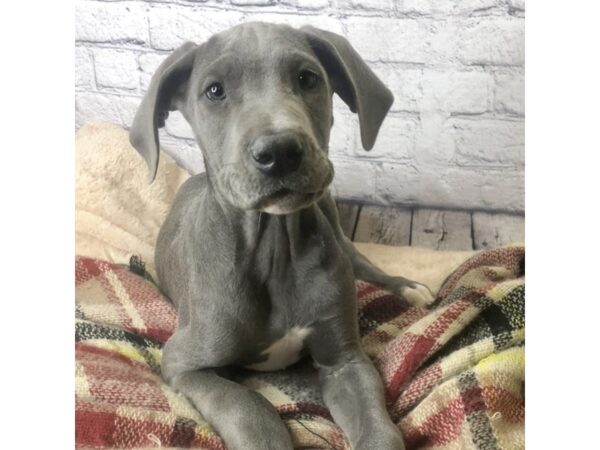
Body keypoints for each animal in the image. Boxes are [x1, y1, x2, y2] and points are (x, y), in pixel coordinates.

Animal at [130, 22, 432, 450]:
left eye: (307, 78)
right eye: (214, 90)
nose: (280, 152)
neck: (273, 250)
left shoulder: (345, 360)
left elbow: (380, 432)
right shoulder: (182, 363)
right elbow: (247, 407)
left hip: (340, 238)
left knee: (367, 266)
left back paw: (409, 288)